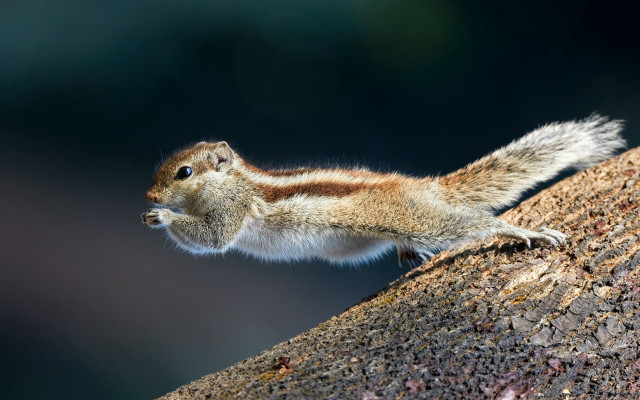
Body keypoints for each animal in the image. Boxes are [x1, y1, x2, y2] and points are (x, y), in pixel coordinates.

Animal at [142, 114, 625, 267]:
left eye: (184, 172)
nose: (149, 198)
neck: (237, 179)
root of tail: (423, 186)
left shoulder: (233, 208)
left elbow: (213, 238)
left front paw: (163, 217)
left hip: (420, 219)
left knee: (475, 223)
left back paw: (521, 231)